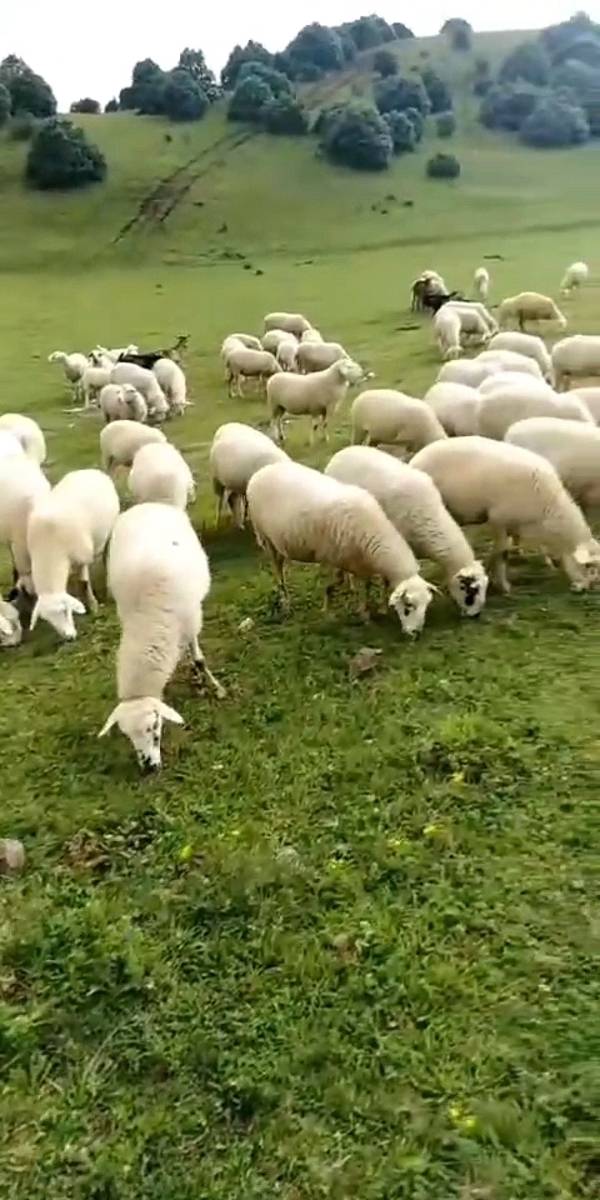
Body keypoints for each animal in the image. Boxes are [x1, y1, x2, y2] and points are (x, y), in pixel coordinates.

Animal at [27, 469, 120, 639]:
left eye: (65, 611)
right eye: (48, 620)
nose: (69, 638)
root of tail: (90, 470)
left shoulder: (82, 557)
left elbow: (84, 583)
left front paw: (93, 606)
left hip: (109, 530)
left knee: (106, 554)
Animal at [98, 503, 224, 770]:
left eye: (155, 728)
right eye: (127, 736)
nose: (149, 768)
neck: (149, 617)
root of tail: (146, 504)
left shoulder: (191, 621)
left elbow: (198, 660)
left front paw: (211, 687)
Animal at [247, 460, 436, 635]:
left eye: (426, 605)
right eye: (408, 607)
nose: (416, 633)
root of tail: (261, 472)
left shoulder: (360, 564)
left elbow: (365, 587)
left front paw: (364, 612)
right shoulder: (330, 558)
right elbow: (333, 585)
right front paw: (329, 611)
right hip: (265, 537)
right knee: (277, 570)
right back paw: (285, 600)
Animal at [411, 436, 600, 593]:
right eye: (588, 567)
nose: (585, 589)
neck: (548, 508)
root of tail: (417, 457)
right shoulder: (498, 520)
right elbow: (502, 553)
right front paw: (503, 585)